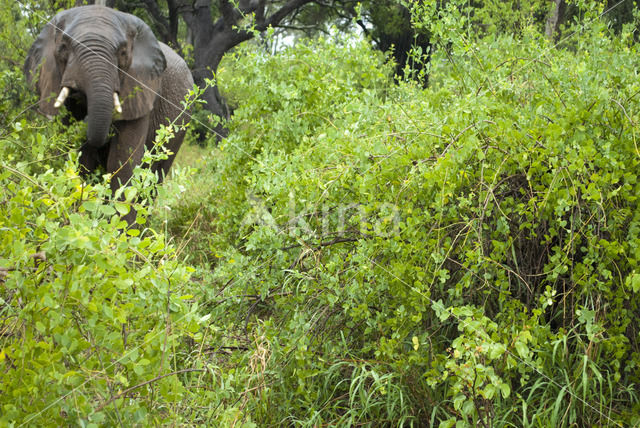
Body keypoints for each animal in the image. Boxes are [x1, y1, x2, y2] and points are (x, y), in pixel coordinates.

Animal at [24, 5, 192, 222]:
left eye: (122, 52)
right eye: (63, 48)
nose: (87, 118)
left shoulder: (141, 88)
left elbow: (122, 161)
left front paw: (122, 229)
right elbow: (80, 158)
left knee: (156, 176)